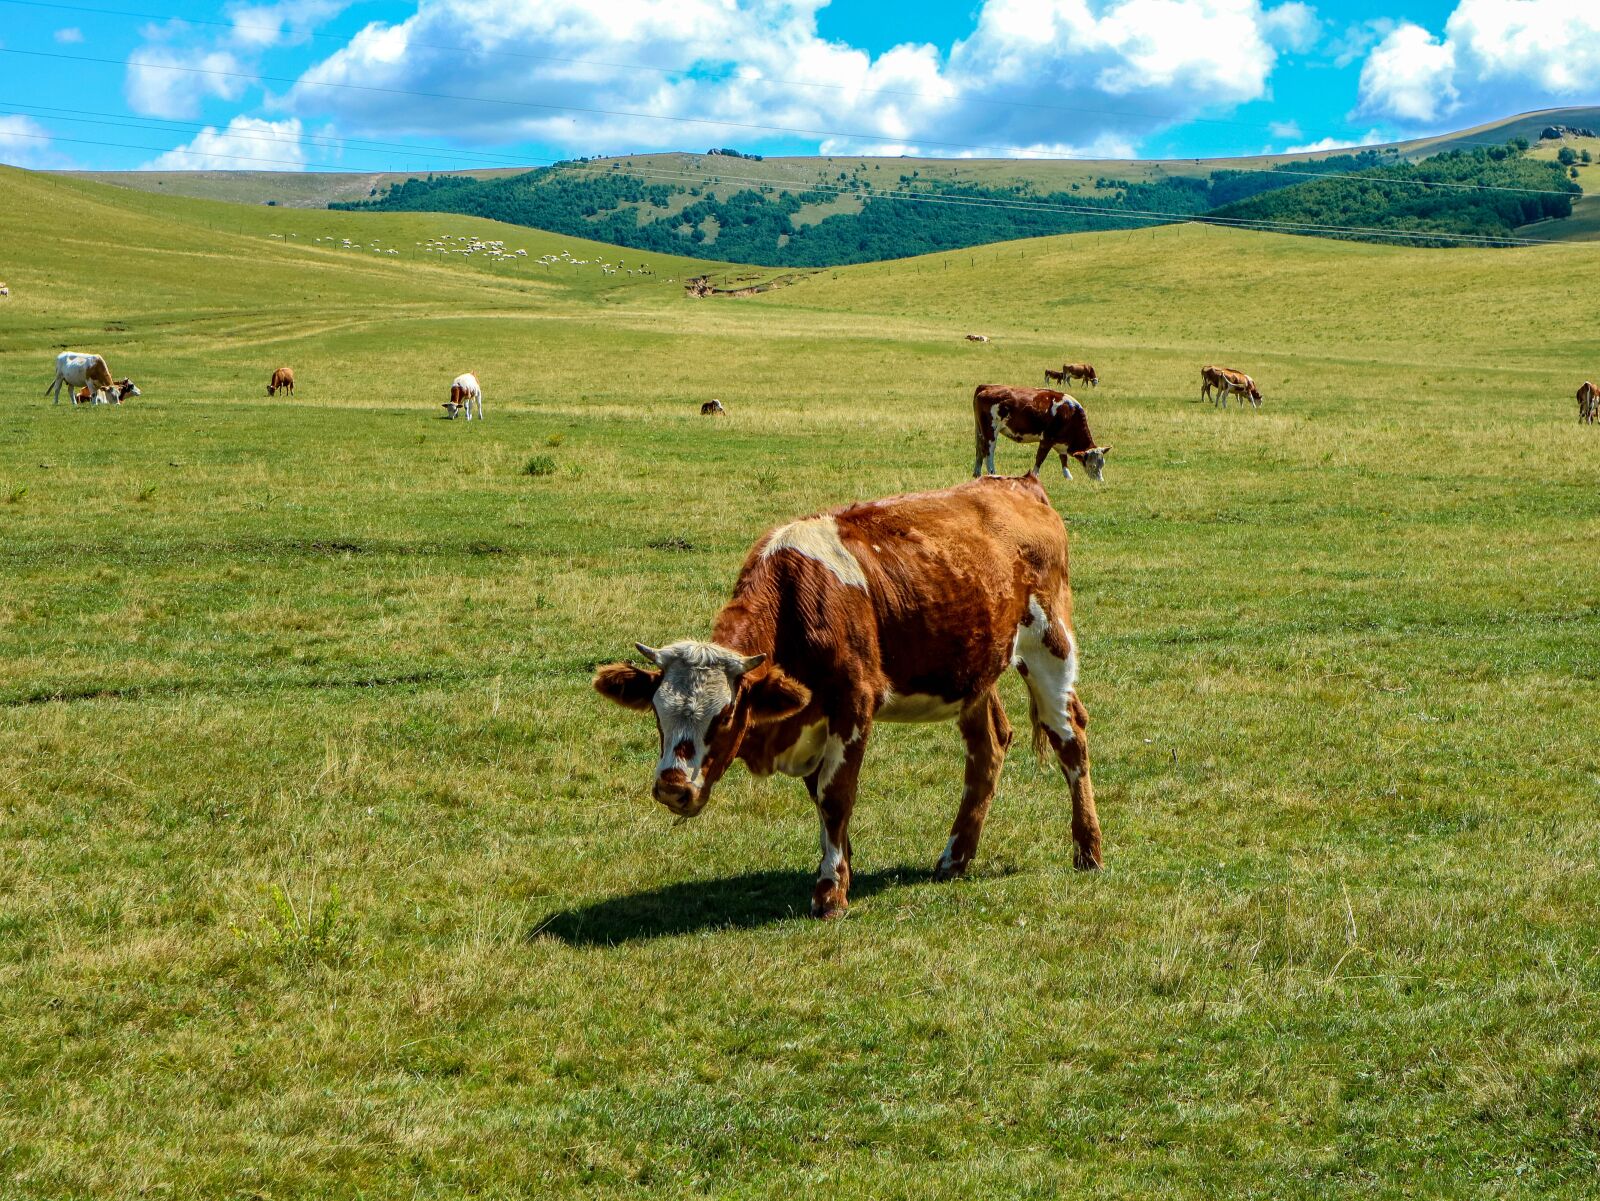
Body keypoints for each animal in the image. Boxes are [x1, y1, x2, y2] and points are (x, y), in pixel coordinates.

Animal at [595, 473, 1107, 914]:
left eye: (723, 717)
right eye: (658, 715)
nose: (672, 786)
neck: (797, 599)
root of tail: (1020, 484)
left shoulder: (854, 704)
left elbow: (835, 794)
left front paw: (830, 892)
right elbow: (821, 801)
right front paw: (842, 869)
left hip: (1049, 647)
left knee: (1070, 739)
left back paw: (1088, 851)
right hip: (975, 675)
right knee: (989, 749)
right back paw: (954, 858)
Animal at [972, 382, 1113, 482]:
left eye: (1102, 464)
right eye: (1092, 466)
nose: (1100, 481)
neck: (1070, 413)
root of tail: (986, 387)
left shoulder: (1061, 443)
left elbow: (1063, 458)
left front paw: (1068, 476)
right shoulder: (1047, 439)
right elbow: (1040, 458)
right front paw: (1035, 475)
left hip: (979, 430)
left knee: (979, 449)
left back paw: (977, 473)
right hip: (990, 431)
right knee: (988, 452)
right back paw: (992, 473)